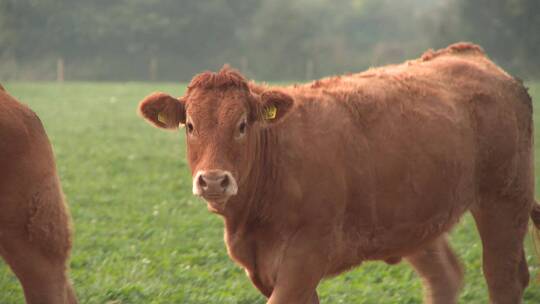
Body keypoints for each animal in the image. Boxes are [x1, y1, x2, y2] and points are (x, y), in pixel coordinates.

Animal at [136, 43, 540, 304]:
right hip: (415, 218)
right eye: (190, 125)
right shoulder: (268, 267)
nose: (214, 180)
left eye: (242, 125)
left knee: (503, 278)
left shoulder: (306, 255)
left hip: (504, 198)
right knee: (446, 277)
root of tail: (472, 55)